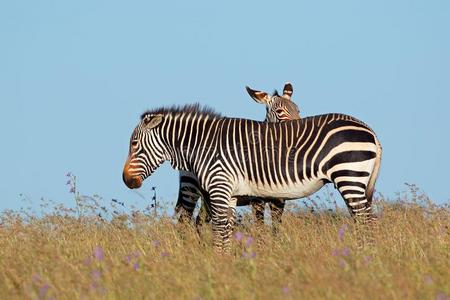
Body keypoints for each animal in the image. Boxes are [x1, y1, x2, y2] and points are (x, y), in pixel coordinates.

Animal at [124, 104, 384, 252]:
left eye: (134, 144)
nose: (127, 181)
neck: (203, 145)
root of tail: (370, 130)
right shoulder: (228, 194)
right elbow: (226, 228)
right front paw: (225, 263)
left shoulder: (219, 187)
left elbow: (220, 228)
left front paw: (218, 263)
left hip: (349, 176)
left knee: (367, 220)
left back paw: (367, 258)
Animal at [174, 83, 300, 231]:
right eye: (280, 111)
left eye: (298, 110)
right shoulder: (257, 199)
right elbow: (260, 225)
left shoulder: (280, 199)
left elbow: (276, 227)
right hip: (190, 187)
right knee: (184, 219)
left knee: (199, 220)